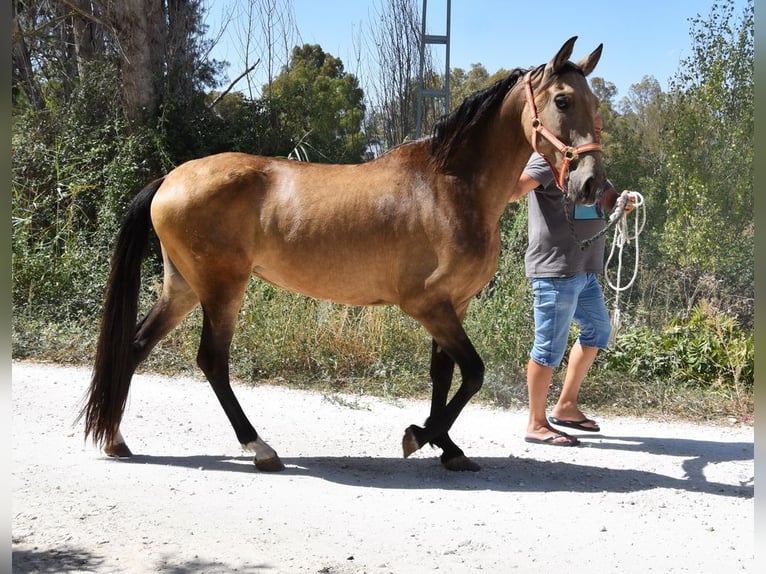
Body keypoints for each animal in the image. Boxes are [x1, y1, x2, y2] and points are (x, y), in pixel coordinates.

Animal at [78, 38, 608, 474]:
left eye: (595, 104)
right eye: (562, 100)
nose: (591, 185)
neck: (448, 186)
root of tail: (170, 178)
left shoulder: (451, 305)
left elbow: (443, 377)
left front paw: (449, 449)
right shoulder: (427, 306)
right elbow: (473, 374)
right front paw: (419, 436)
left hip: (184, 287)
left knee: (135, 346)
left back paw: (116, 440)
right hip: (221, 288)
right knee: (211, 360)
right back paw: (260, 449)